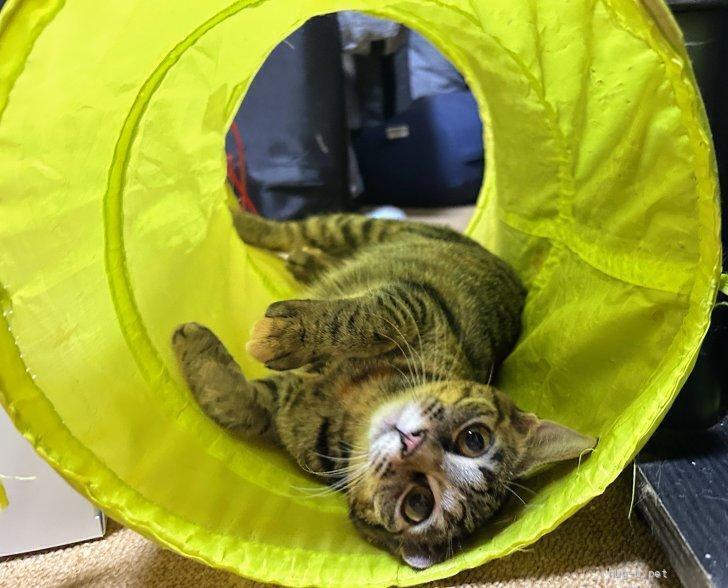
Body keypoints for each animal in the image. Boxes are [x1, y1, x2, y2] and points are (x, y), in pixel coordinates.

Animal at [172, 209, 597, 569]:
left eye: (418, 505)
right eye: (474, 439)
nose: (412, 445)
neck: (361, 404)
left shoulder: (284, 408)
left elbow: (234, 404)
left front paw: (195, 345)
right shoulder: (416, 306)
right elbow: (366, 318)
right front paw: (284, 335)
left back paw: (299, 258)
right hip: (373, 229)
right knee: (299, 229)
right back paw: (248, 221)